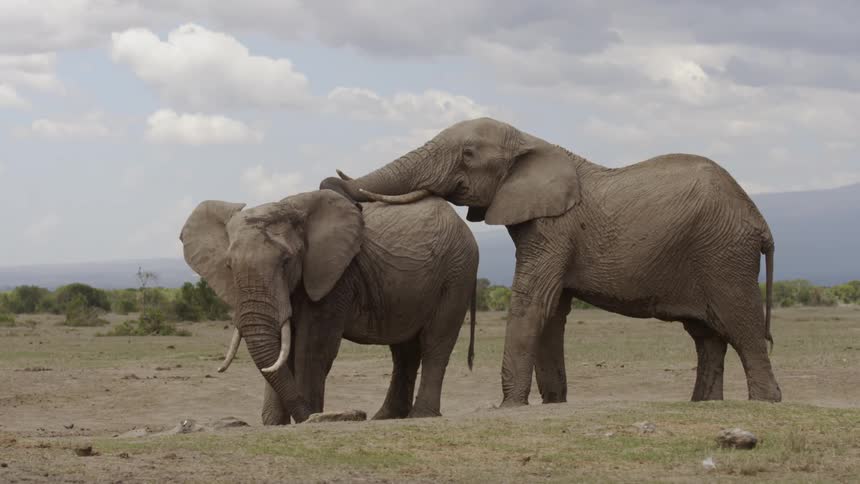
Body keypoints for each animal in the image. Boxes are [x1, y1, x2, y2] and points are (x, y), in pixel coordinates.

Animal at [179, 189, 478, 424]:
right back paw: (386, 417)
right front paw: (275, 424)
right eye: (229, 266)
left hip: (457, 272)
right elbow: (283, 350)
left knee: (435, 342)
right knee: (404, 350)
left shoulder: (336, 276)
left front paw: (310, 418)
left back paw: (421, 415)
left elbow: (312, 348)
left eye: (286, 261)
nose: (308, 416)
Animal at [320, 117, 782, 407]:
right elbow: (553, 311)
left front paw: (508, 406)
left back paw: (764, 402)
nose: (330, 180)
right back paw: (705, 404)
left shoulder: (555, 228)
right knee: (706, 335)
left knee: (739, 322)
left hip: (724, 253)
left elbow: (532, 302)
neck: (530, 140)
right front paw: (553, 402)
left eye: (468, 153)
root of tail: (761, 222)